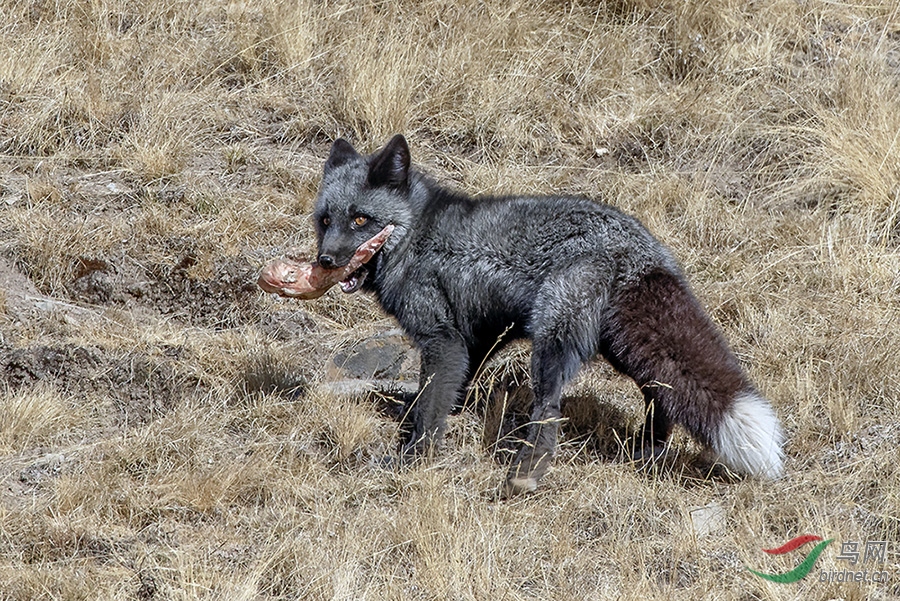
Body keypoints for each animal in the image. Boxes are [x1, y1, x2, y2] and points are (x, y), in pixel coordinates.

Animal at [312, 132, 784, 492]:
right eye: (325, 221)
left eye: (361, 220)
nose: (325, 261)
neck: (415, 239)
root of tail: (639, 249)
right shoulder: (478, 335)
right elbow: (452, 388)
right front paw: (436, 415)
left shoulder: (442, 339)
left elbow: (430, 409)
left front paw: (412, 458)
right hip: (618, 343)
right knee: (661, 389)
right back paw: (648, 448)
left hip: (553, 343)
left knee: (549, 405)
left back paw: (526, 472)